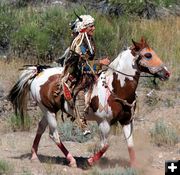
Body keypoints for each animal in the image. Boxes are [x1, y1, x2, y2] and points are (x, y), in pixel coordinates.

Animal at [7, 37, 170, 167]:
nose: (167, 73)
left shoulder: (126, 121)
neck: (116, 88)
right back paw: (71, 160)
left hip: (49, 110)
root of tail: (39, 72)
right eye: (148, 55)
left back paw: (34, 156)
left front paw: (135, 165)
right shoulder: (103, 123)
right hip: (48, 111)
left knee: (40, 127)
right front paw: (90, 161)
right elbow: (105, 145)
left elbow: (130, 144)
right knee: (54, 135)